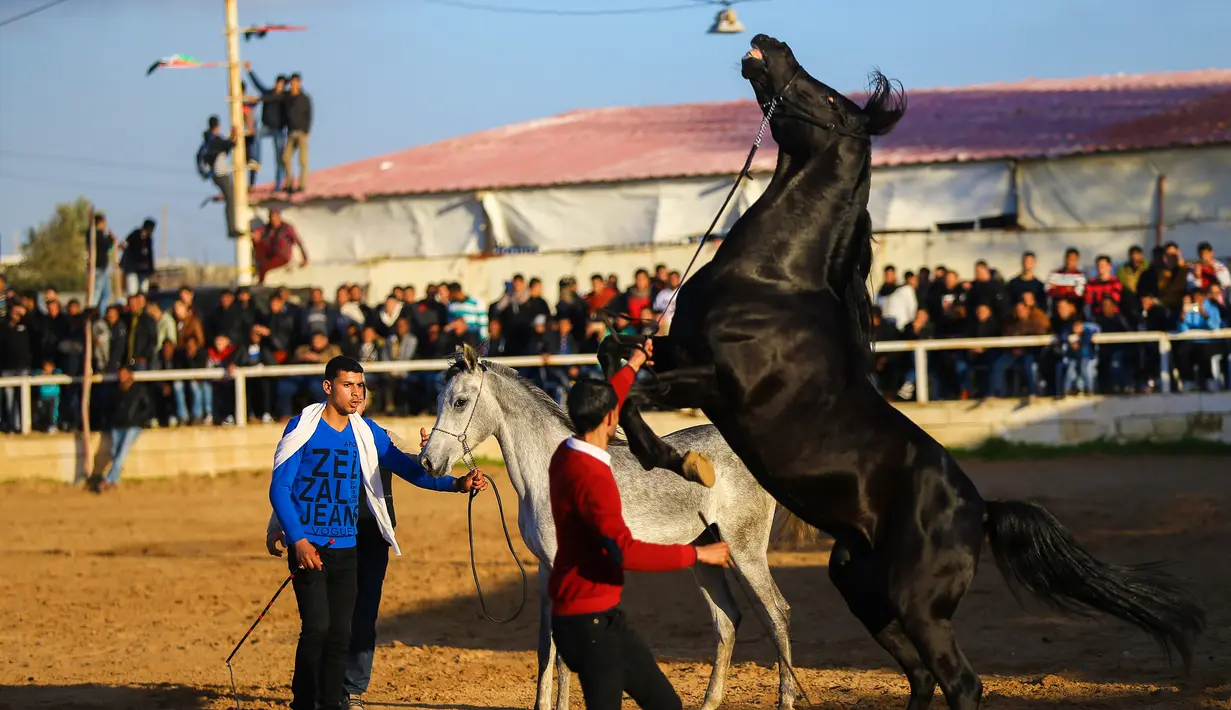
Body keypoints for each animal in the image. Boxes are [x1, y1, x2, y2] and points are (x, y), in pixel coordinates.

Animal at [418, 344, 797, 710]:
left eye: (460, 401)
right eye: (437, 400)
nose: (428, 461)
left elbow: (563, 654)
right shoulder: (544, 569)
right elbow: (544, 649)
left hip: (745, 550)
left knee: (776, 612)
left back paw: (787, 700)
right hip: (705, 553)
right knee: (727, 619)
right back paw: (710, 702)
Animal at [600, 34, 1206, 710]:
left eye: (829, 98)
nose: (768, 43)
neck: (773, 278)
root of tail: (981, 509)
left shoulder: (719, 382)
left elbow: (640, 390)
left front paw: (678, 460)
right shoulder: (674, 350)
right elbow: (612, 359)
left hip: (918, 604)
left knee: (959, 681)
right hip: (862, 588)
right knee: (920, 675)